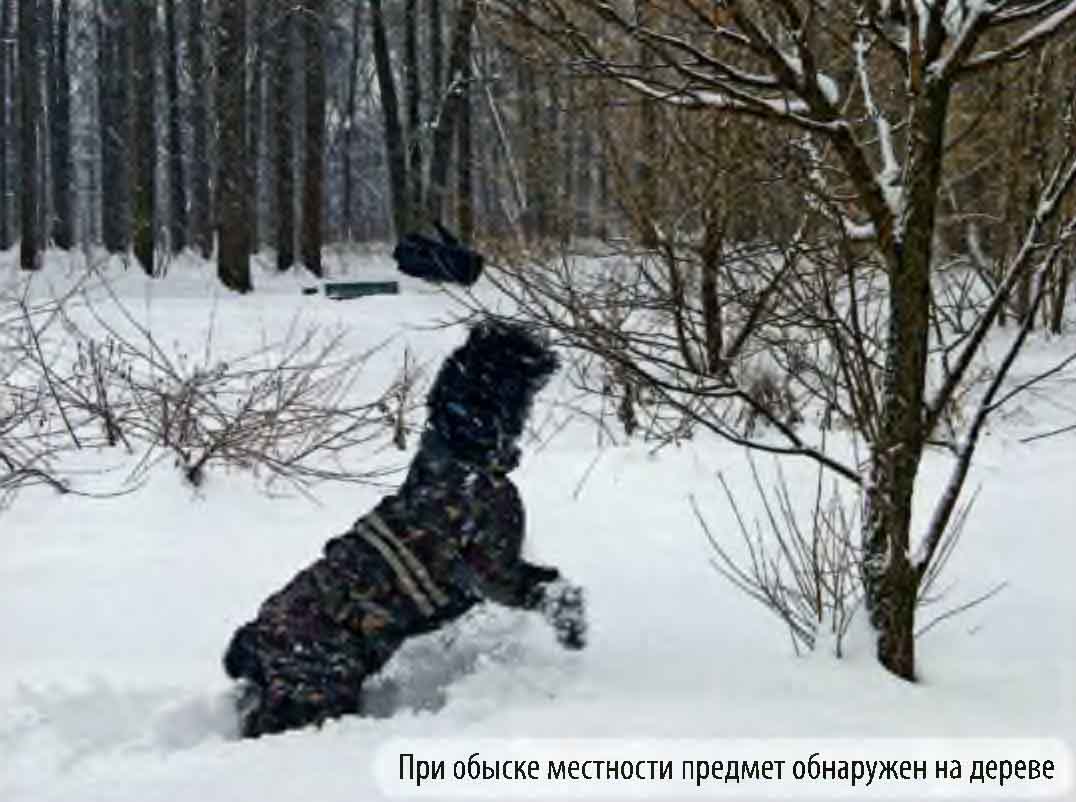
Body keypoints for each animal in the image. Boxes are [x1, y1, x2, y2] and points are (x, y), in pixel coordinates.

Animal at [221, 316, 585, 736]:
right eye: (504, 348)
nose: (536, 338)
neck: (462, 454)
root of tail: (250, 638)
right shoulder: (494, 572)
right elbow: (551, 587)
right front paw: (572, 629)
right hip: (319, 684)